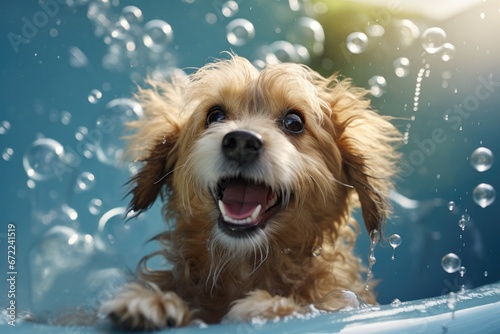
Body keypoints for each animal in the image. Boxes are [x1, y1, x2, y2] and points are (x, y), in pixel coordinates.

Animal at [99, 54, 400, 328]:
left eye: (294, 122)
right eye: (215, 115)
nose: (242, 141)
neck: (245, 267)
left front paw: (270, 305)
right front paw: (153, 302)